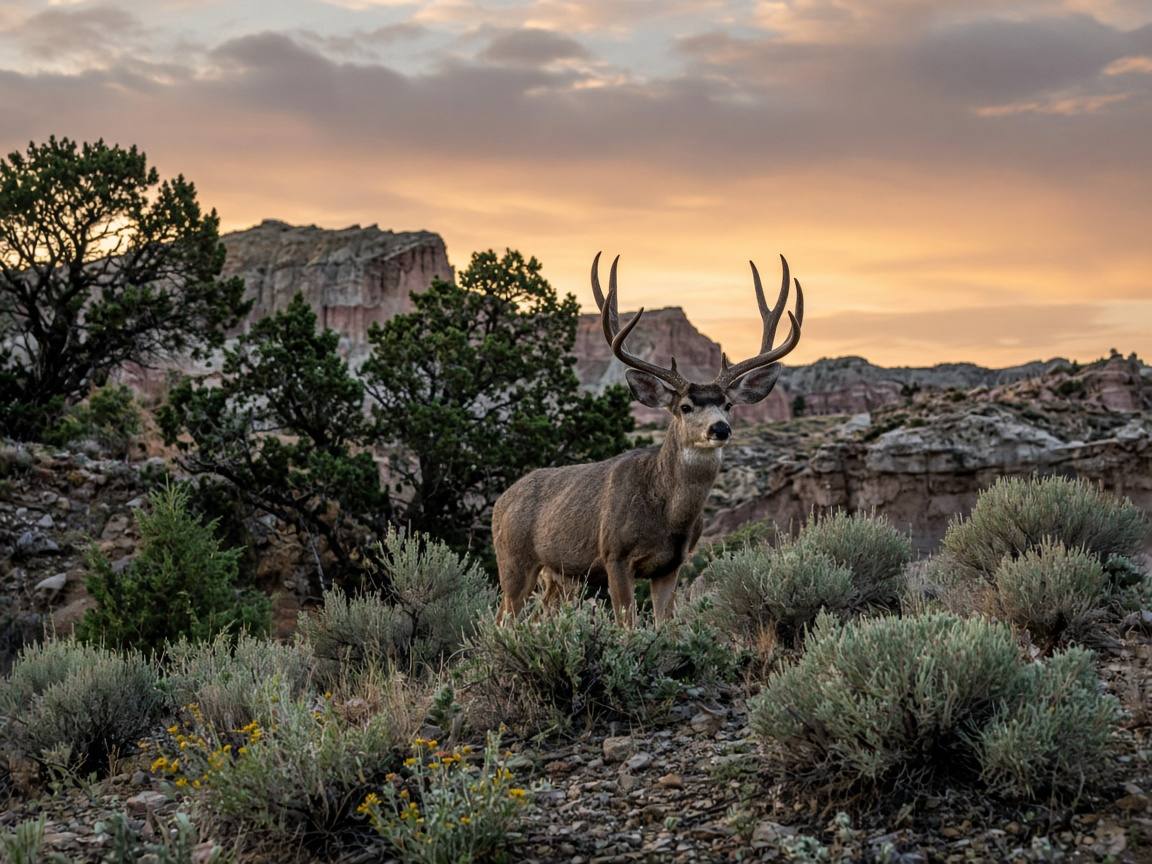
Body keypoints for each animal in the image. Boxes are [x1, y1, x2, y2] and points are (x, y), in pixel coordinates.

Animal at [491, 252, 804, 625]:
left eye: (728, 405)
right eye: (685, 406)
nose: (720, 429)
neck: (668, 515)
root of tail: (499, 502)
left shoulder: (671, 565)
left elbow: (665, 624)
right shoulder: (614, 554)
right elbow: (627, 624)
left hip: (558, 575)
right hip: (514, 560)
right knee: (502, 620)